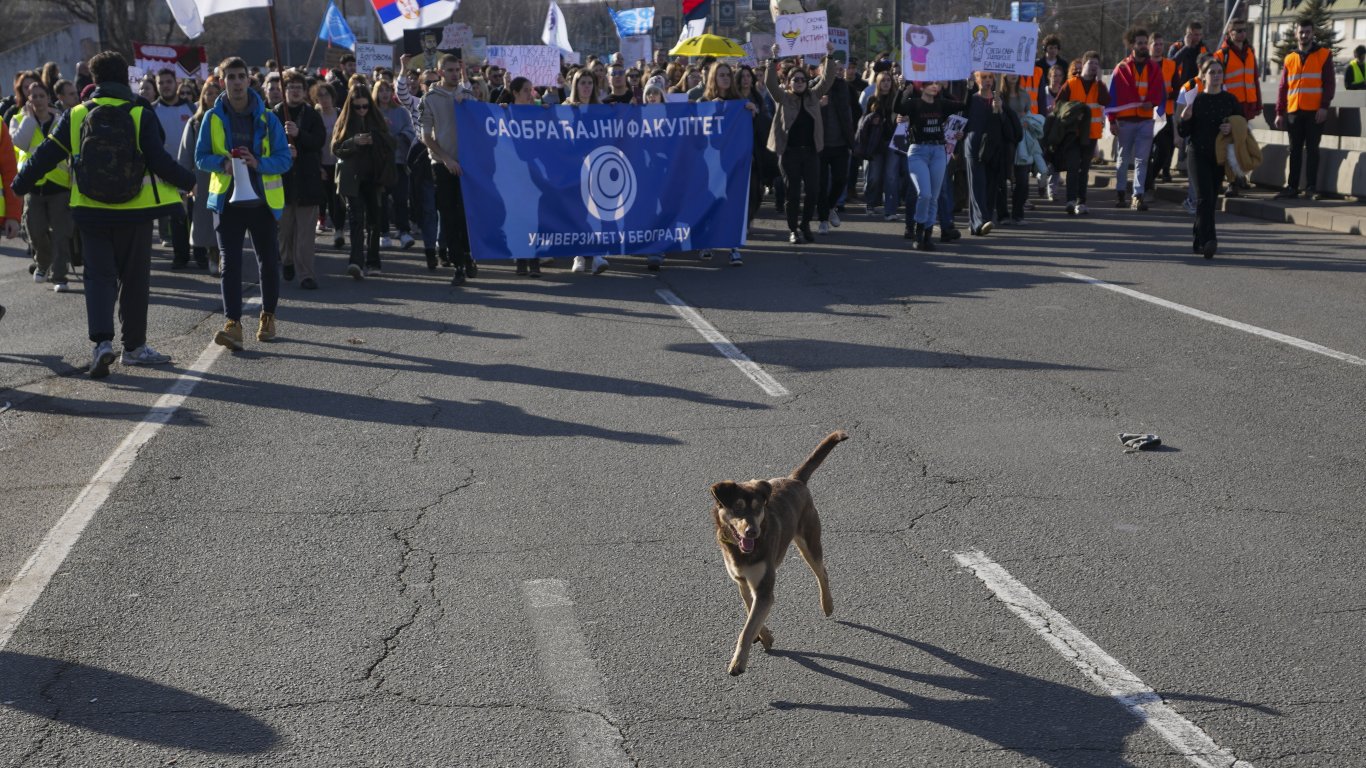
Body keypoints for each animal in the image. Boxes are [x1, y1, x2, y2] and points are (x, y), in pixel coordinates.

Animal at [710, 426, 846, 672]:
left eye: (757, 508)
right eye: (738, 508)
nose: (752, 532)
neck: (742, 553)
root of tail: (795, 479)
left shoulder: (764, 588)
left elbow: (746, 629)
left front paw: (738, 662)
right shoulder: (743, 583)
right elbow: (751, 614)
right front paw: (765, 637)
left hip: (809, 541)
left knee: (822, 571)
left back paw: (828, 605)